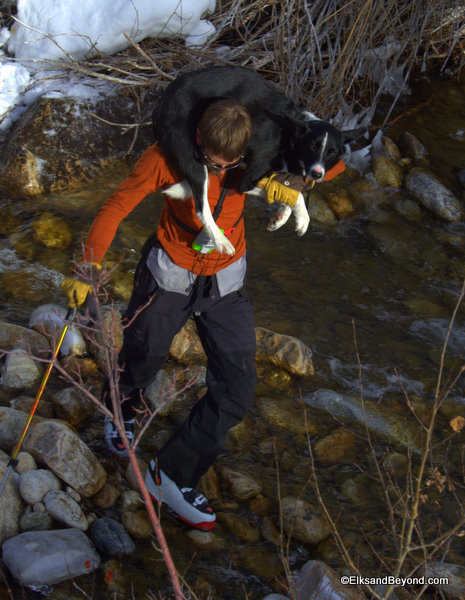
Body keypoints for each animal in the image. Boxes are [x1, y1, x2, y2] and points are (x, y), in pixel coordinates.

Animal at [152, 67, 362, 254]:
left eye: (331, 152)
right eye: (312, 146)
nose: (317, 174)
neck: (287, 137)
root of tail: (164, 97)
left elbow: (290, 191)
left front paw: (283, 216)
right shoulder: (246, 180)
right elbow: (291, 193)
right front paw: (302, 217)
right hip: (194, 158)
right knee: (201, 208)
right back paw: (221, 242)